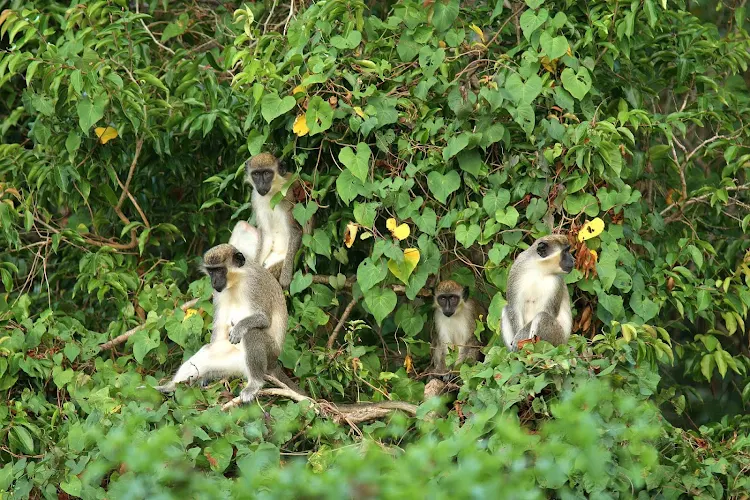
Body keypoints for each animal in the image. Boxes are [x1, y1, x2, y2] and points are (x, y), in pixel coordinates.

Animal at [244, 152, 311, 289]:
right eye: (256, 174)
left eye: (267, 173)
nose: (261, 185)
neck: (271, 194)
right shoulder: (256, 198)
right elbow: (266, 235)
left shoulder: (286, 196)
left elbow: (295, 232)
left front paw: (285, 278)